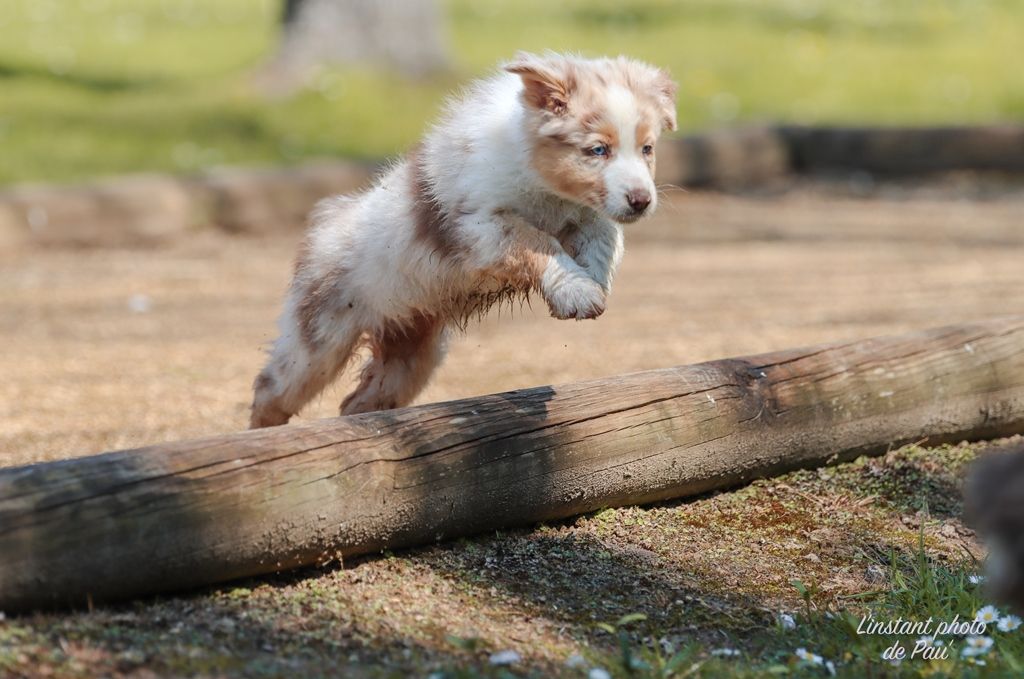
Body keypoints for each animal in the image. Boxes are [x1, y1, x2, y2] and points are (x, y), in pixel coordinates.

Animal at [250, 51, 675, 430]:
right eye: (597, 150)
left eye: (647, 149)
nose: (642, 201)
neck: (544, 184)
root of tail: (330, 217)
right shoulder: (481, 226)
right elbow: (539, 242)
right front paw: (577, 290)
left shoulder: (585, 212)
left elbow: (605, 237)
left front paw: (592, 281)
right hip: (318, 341)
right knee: (271, 389)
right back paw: (263, 438)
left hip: (411, 353)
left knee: (357, 402)